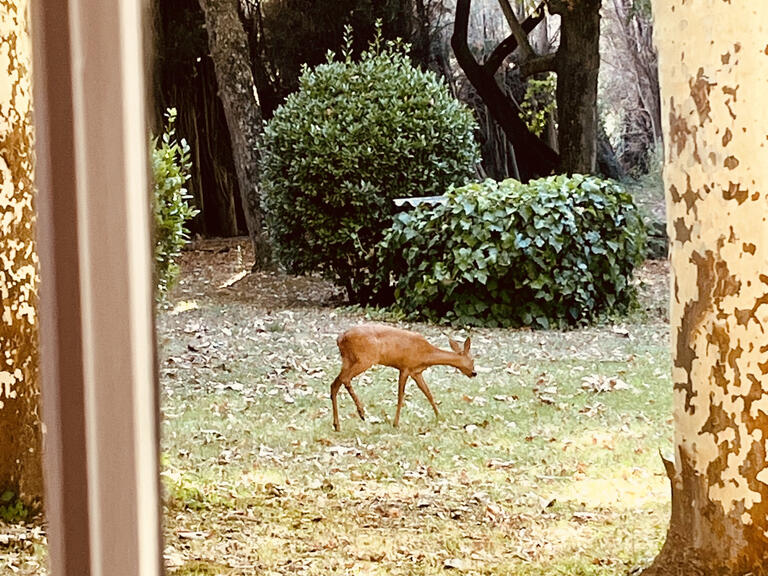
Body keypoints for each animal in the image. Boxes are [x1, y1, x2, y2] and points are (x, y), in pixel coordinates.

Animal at [328, 322, 474, 430]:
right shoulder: (405, 368)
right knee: (345, 379)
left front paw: (440, 416)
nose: (474, 373)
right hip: (365, 359)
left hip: (348, 359)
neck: (426, 354)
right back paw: (361, 412)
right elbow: (400, 396)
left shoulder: (416, 372)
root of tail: (340, 338)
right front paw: (396, 423)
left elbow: (428, 393)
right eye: (473, 360)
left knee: (334, 384)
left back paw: (337, 425)